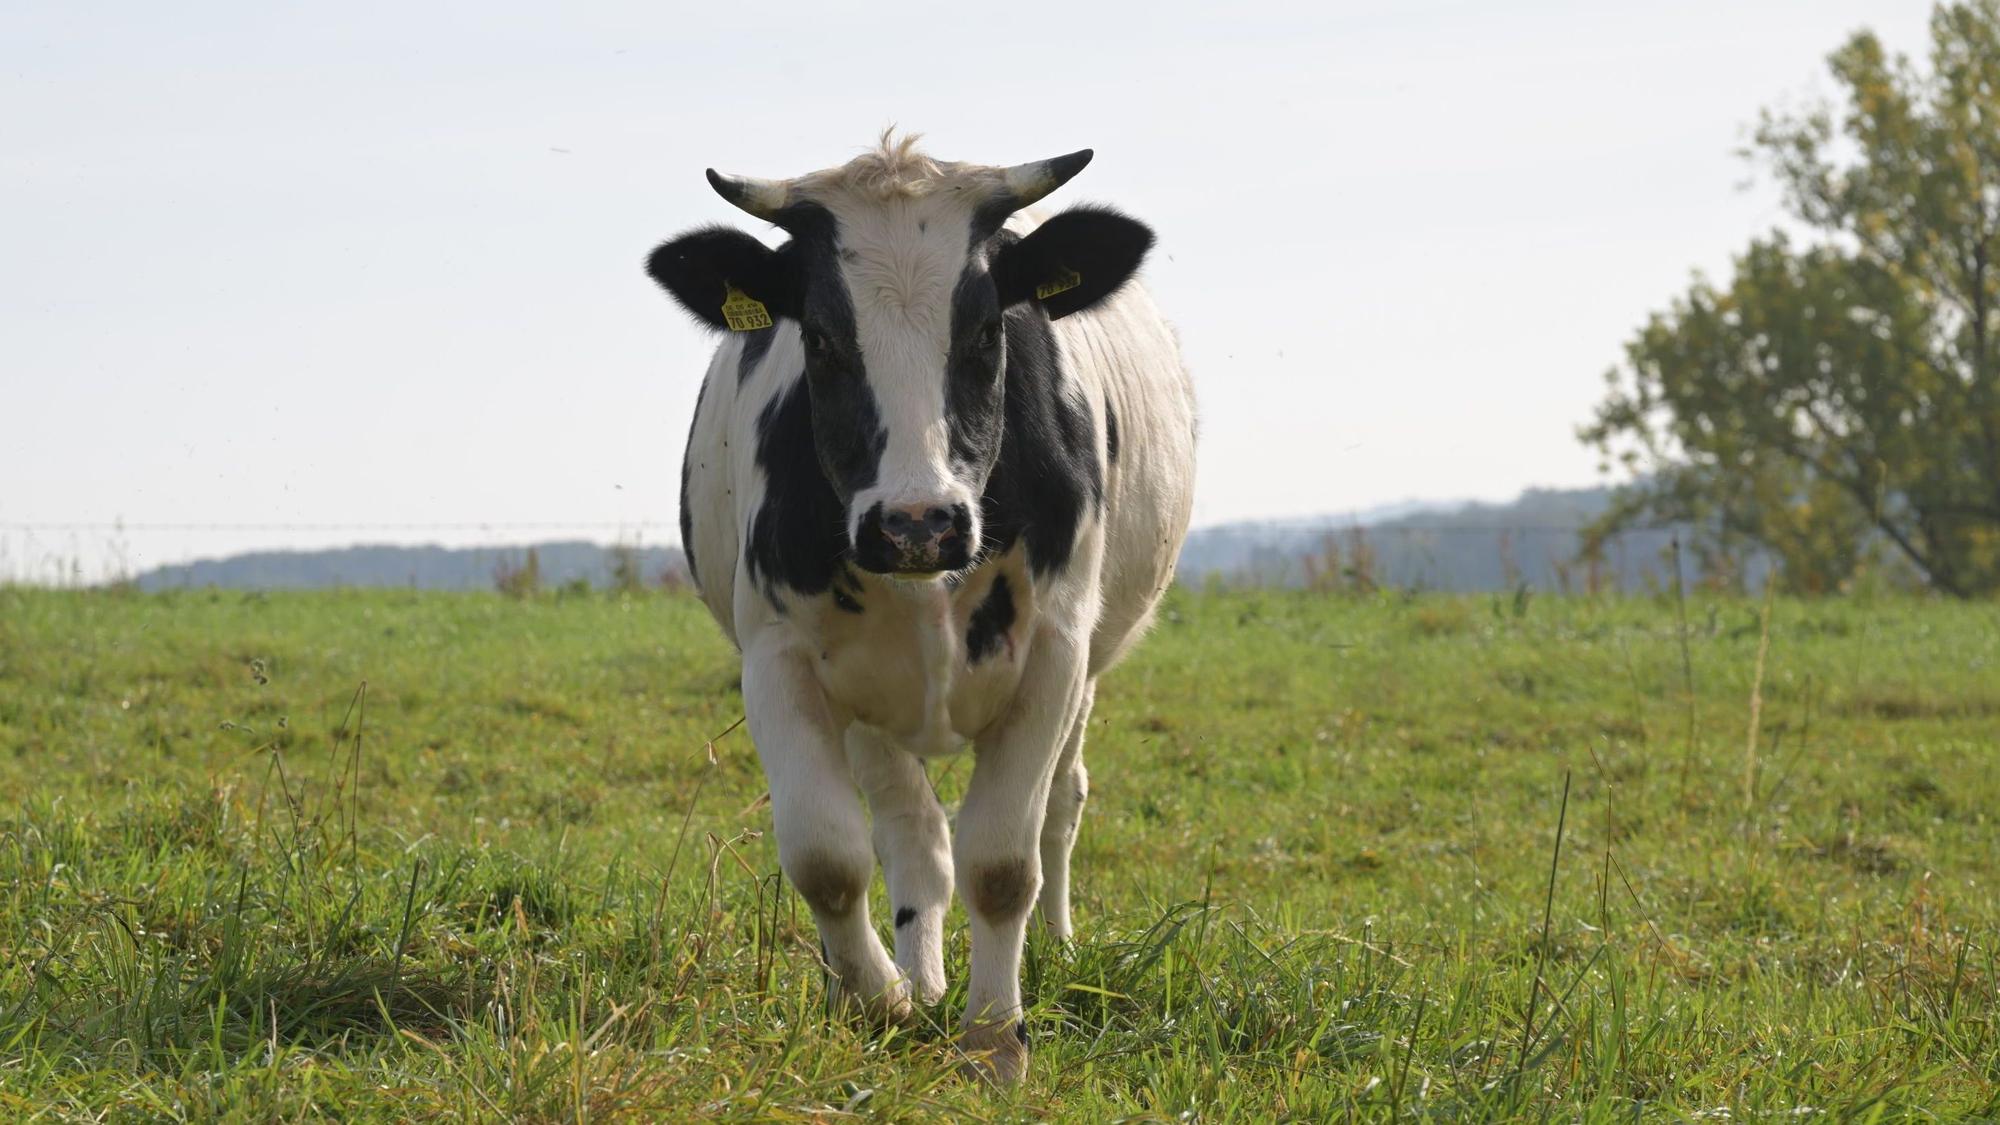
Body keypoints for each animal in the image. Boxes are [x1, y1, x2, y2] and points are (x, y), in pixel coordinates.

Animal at [644, 133, 1196, 1084]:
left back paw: (1056, 948)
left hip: (1089, 669)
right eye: (821, 338)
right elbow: (828, 854)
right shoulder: (778, 658)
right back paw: (924, 979)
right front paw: (878, 1000)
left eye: (985, 329)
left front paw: (995, 1037)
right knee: (913, 836)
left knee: (1061, 805)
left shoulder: (1054, 651)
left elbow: (1004, 862)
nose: (917, 523)